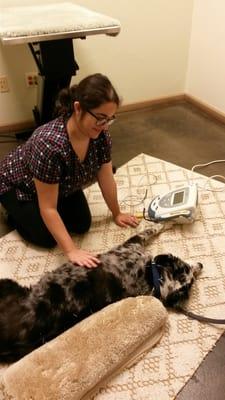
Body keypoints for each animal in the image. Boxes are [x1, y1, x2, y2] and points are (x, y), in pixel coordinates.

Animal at [0, 222, 202, 362]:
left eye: (190, 281)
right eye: (186, 267)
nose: (201, 264)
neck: (151, 276)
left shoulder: (132, 245)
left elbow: (151, 229)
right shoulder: (134, 244)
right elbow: (152, 229)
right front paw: (168, 222)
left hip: (7, 284)